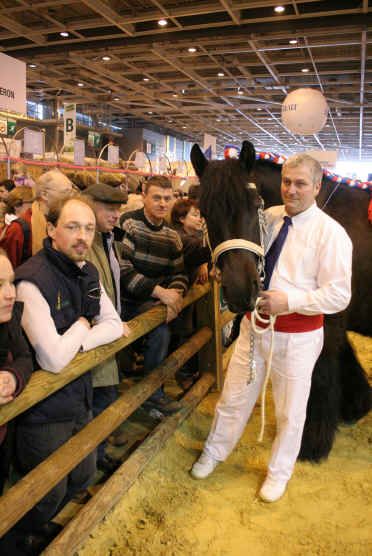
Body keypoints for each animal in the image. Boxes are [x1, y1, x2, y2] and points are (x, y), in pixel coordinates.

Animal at [190, 141, 370, 462]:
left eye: (255, 204)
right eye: (204, 211)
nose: (240, 291)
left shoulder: (329, 316)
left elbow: (323, 372)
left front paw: (313, 441)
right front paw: (356, 404)